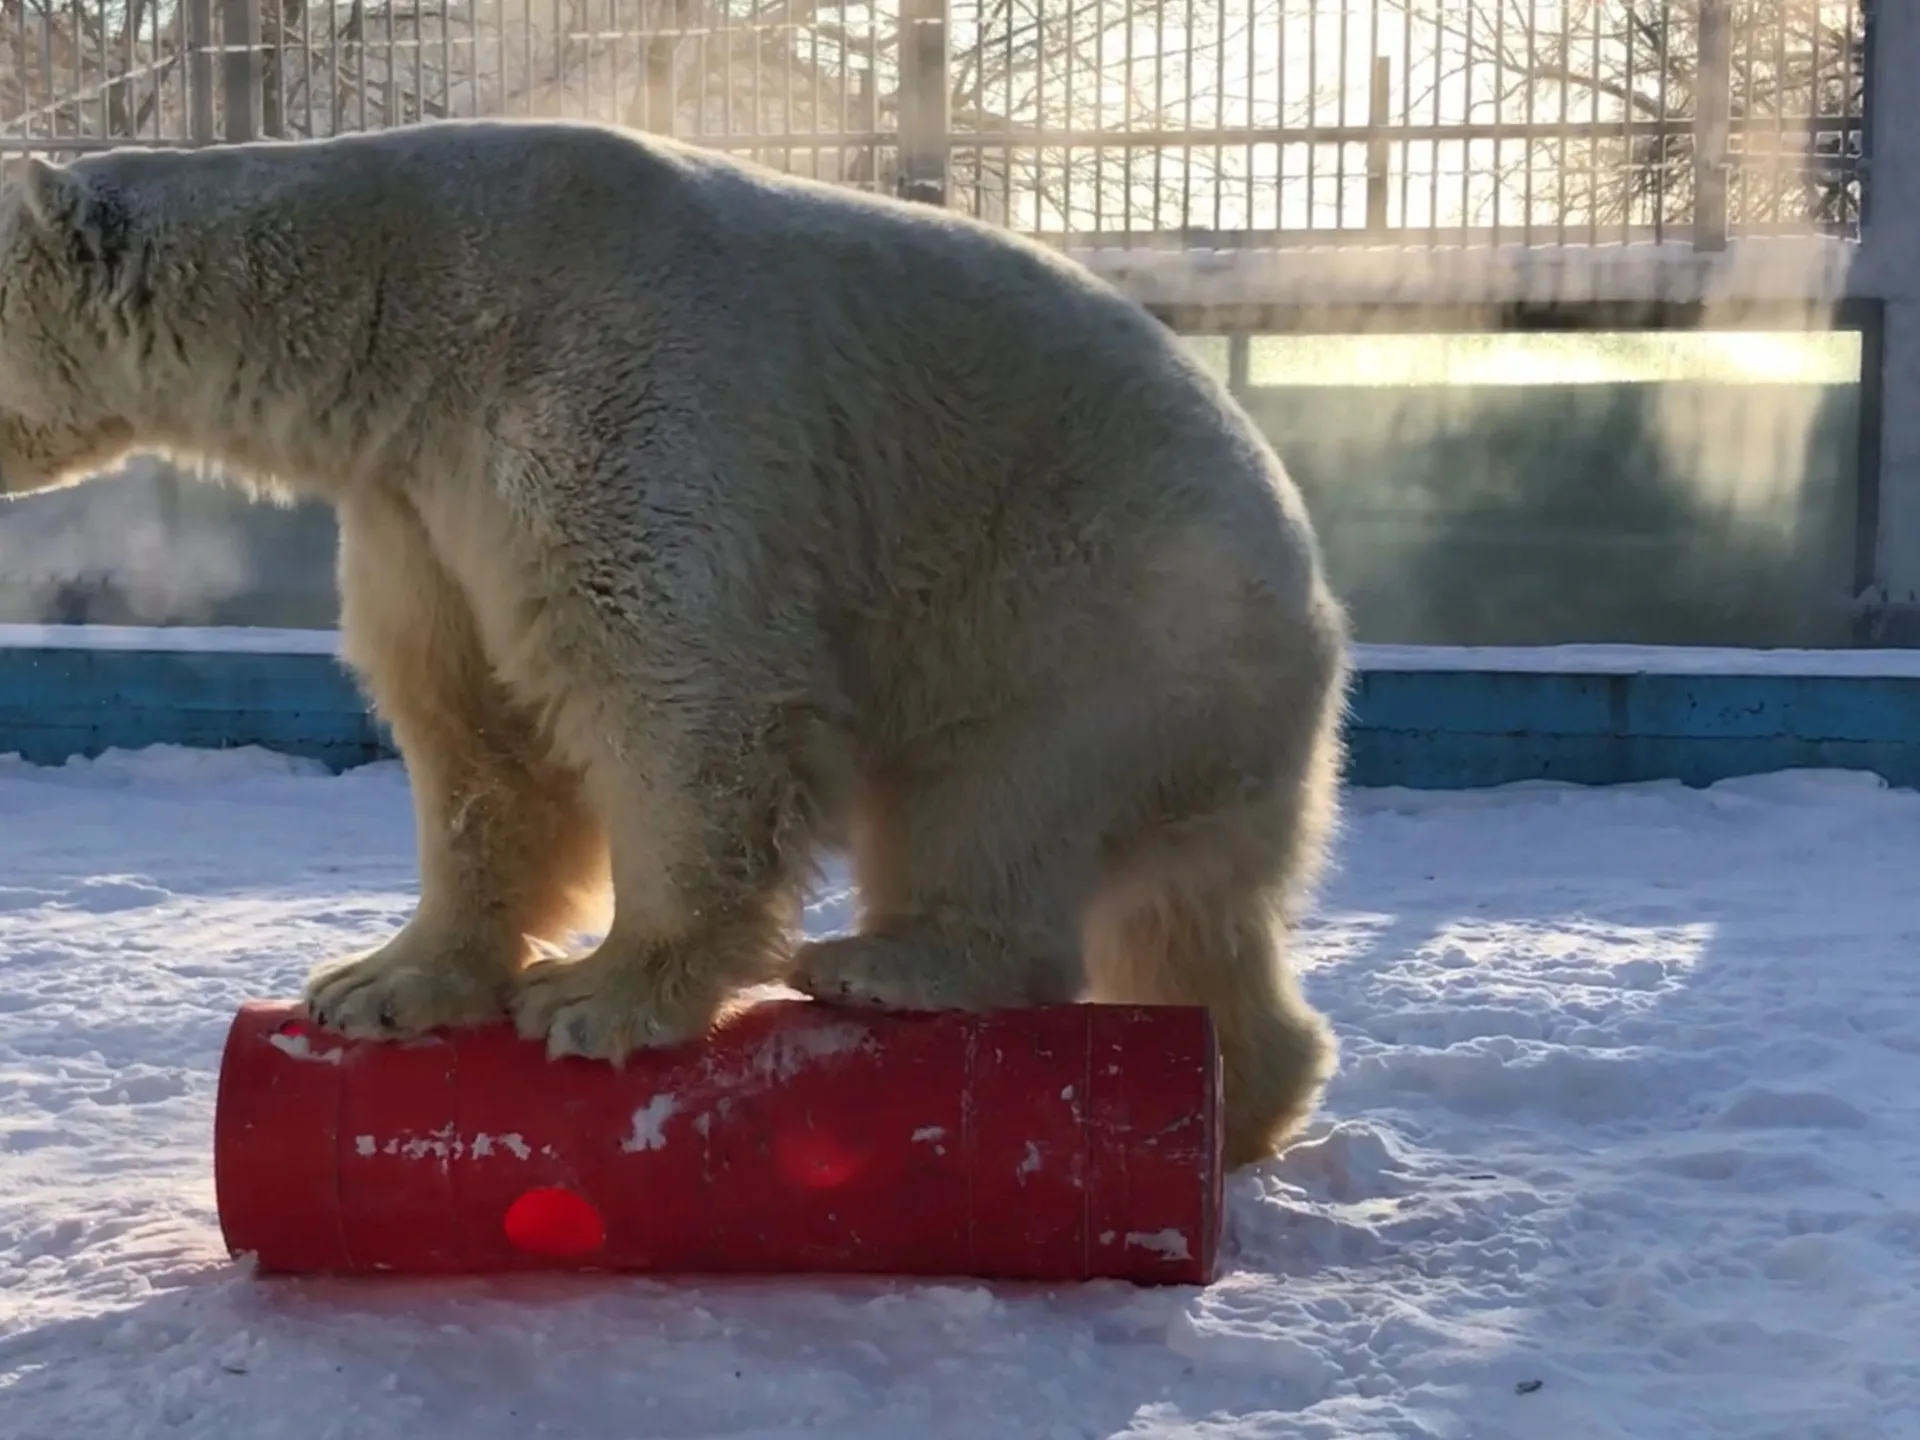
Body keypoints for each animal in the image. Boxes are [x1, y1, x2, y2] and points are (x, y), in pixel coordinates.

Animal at [0, 118, 1351, 1167]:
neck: (405, 316)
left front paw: (599, 996)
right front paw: (378, 984)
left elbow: (676, 687)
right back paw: (1246, 1099)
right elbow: (472, 726)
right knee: (1193, 918)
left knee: (993, 796)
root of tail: (1319, 617)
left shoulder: (606, 397)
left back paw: (889, 962)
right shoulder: (416, 503)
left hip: (1092, 606)